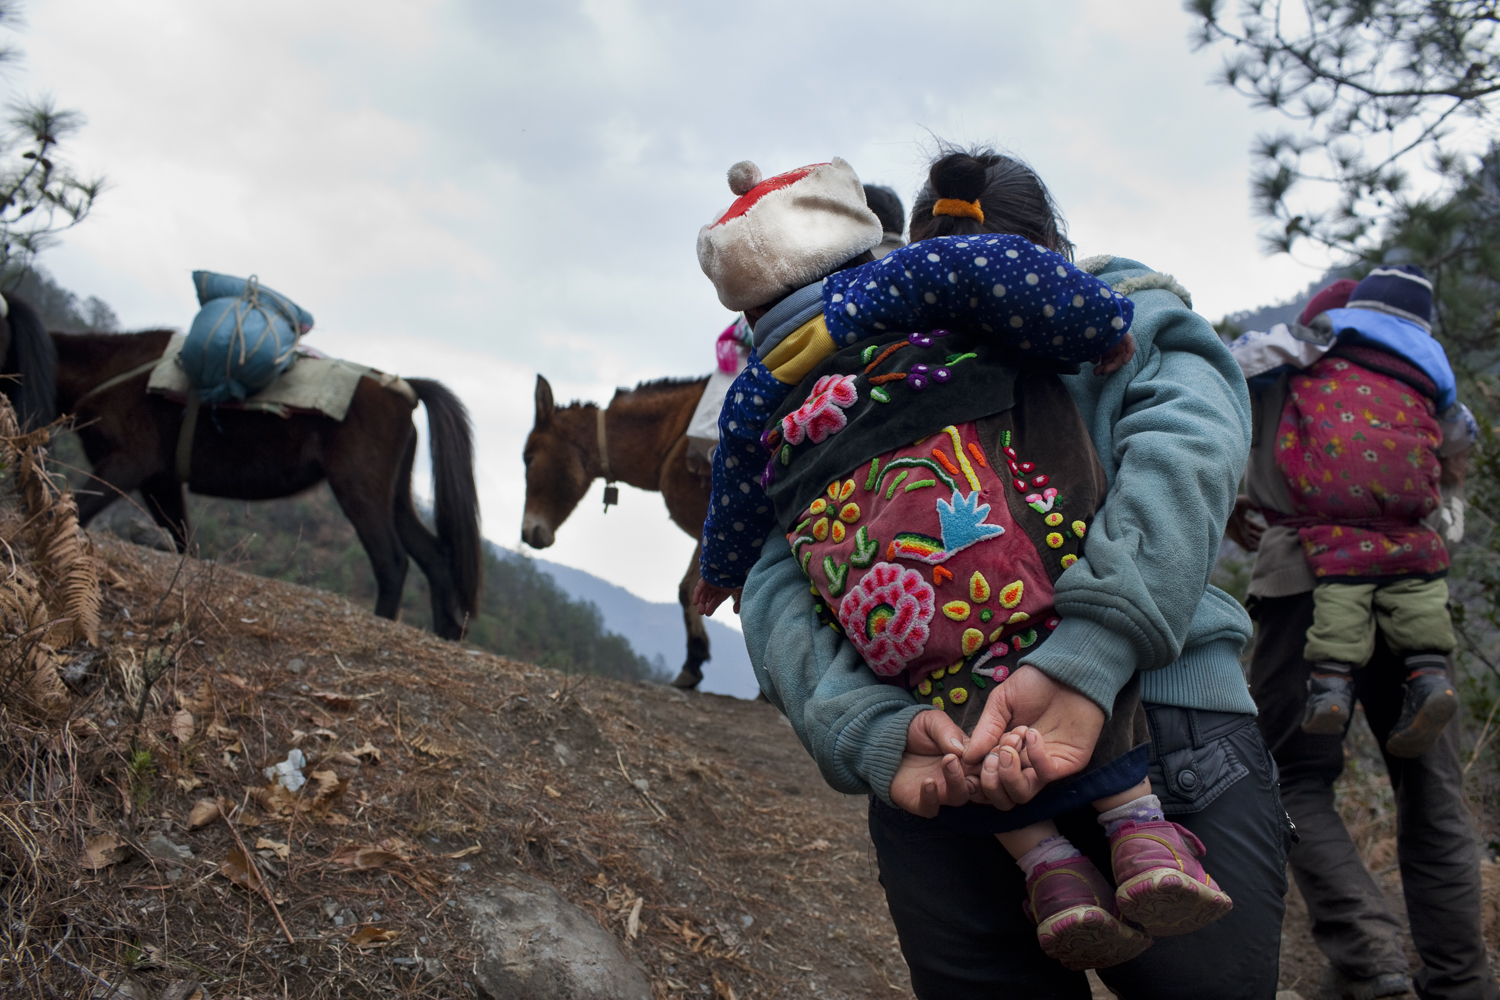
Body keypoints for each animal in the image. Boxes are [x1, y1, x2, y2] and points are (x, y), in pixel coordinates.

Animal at [54, 329, 480, 641]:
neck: (109, 369)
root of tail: (403, 386)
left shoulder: (128, 463)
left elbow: (82, 508)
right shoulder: (162, 480)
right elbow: (181, 539)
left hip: (359, 485)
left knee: (392, 560)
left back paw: (385, 625)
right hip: (395, 494)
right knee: (434, 555)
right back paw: (446, 632)